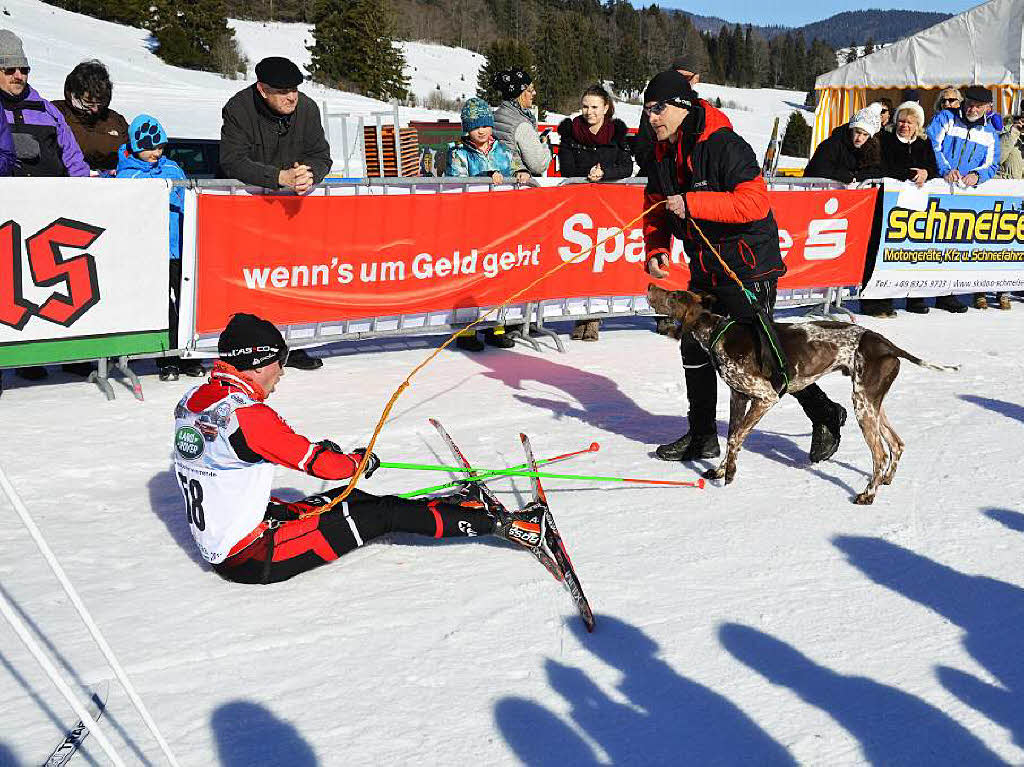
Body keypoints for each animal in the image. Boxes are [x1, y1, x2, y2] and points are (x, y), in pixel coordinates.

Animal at [647, 284, 958, 505]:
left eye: (673, 295)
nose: (650, 285)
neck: (717, 333)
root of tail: (886, 344)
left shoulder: (766, 397)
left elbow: (735, 438)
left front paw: (731, 474)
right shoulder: (739, 397)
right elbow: (733, 436)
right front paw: (722, 470)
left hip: (863, 406)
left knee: (880, 455)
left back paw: (868, 494)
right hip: (872, 403)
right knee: (897, 444)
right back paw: (885, 481)